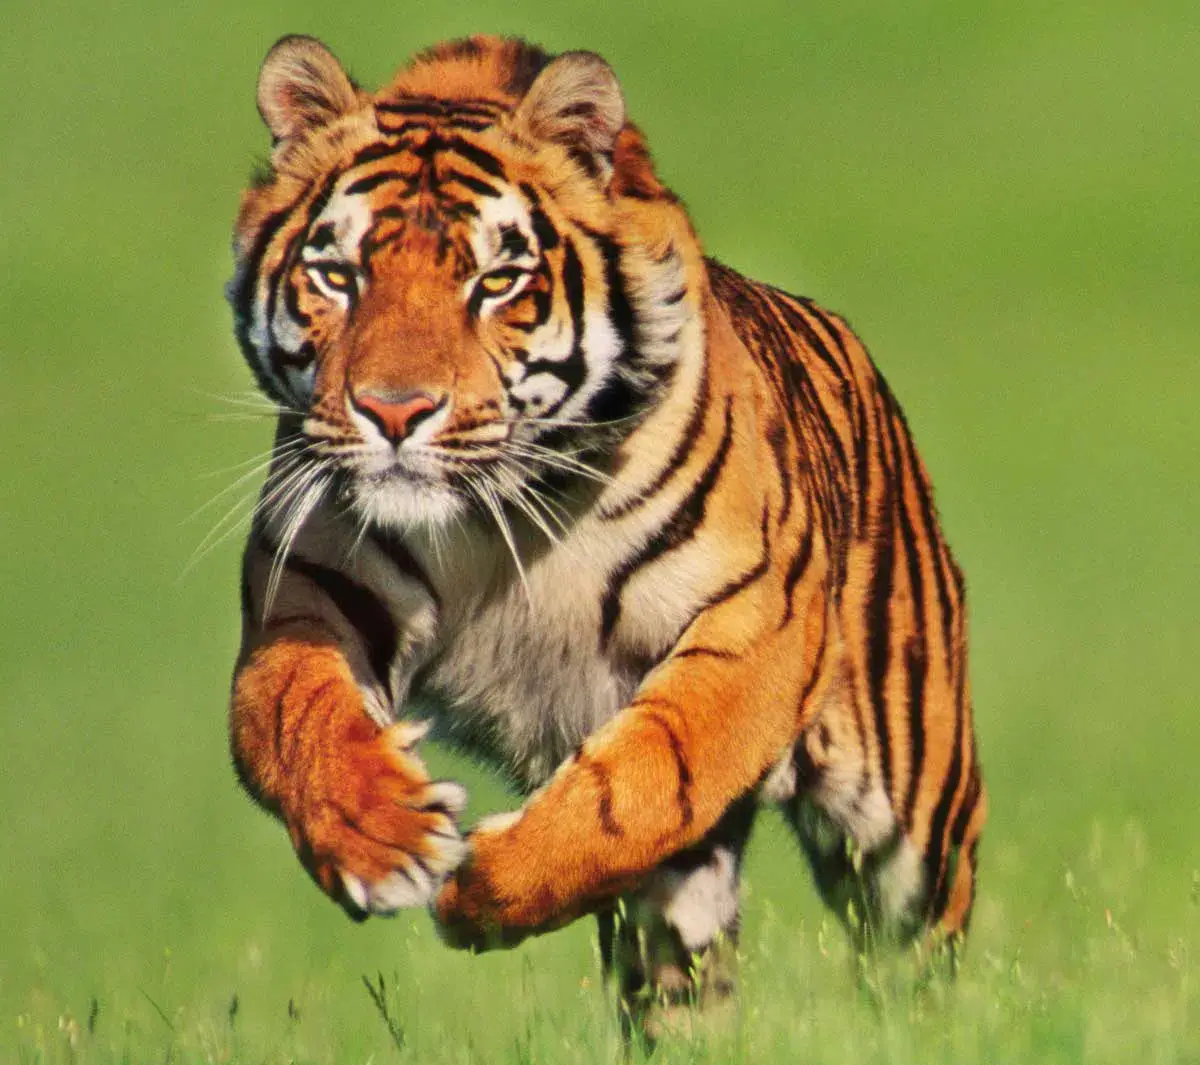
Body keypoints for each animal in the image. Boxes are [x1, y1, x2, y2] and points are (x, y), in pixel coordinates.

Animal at [226, 32, 986, 1037]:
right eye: (338, 276)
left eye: (495, 282)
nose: (393, 411)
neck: (494, 514)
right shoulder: (306, 587)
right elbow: (291, 717)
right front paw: (382, 836)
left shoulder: (750, 624)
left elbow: (644, 777)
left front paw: (481, 888)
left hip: (914, 811)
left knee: (919, 943)